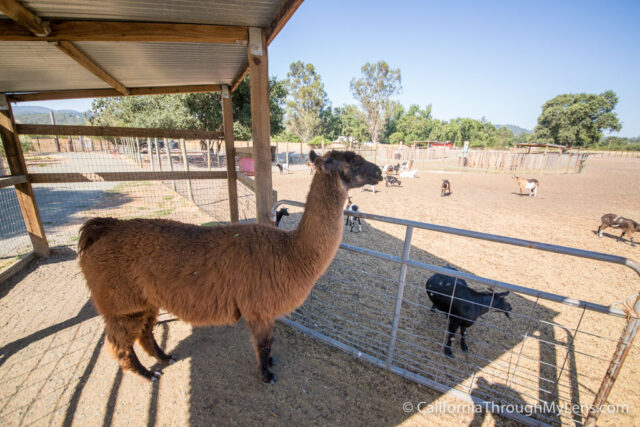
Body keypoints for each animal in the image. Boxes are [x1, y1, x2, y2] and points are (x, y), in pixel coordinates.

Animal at [78, 151, 382, 384]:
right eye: (354, 161)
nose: (379, 171)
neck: (290, 252)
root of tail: (103, 228)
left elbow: (270, 343)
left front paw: (270, 364)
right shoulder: (258, 308)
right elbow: (263, 344)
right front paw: (266, 375)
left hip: (143, 300)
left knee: (144, 332)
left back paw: (165, 357)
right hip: (121, 303)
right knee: (119, 345)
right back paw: (147, 374)